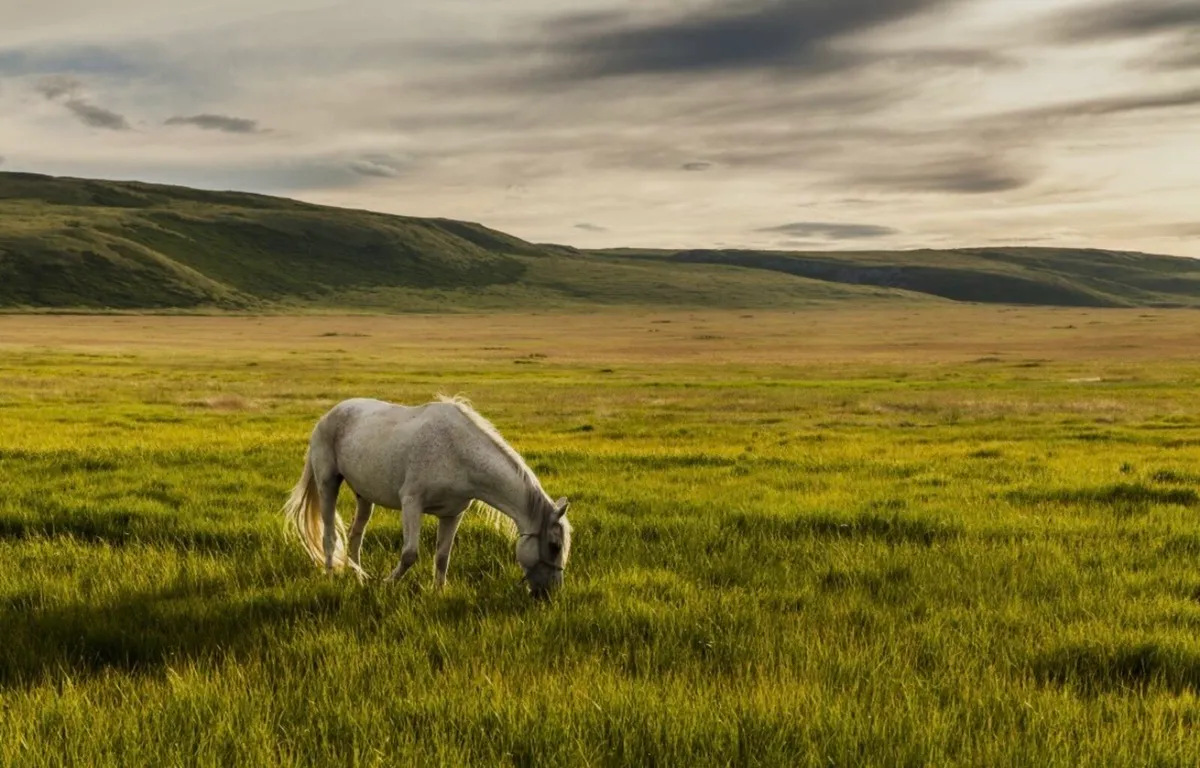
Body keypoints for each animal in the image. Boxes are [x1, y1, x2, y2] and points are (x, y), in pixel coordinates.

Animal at [281, 395, 571, 598]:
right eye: (554, 546)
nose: (550, 594)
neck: (458, 452)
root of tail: (328, 415)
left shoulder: (452, 514)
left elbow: (442, 557)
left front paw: (438, 592)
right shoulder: (412, 503)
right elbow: (410, 554)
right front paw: (387, 584)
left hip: (364, 496)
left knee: (355, 536)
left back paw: (359, 577)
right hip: (328, 483)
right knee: (329, 535)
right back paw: (332, 577)